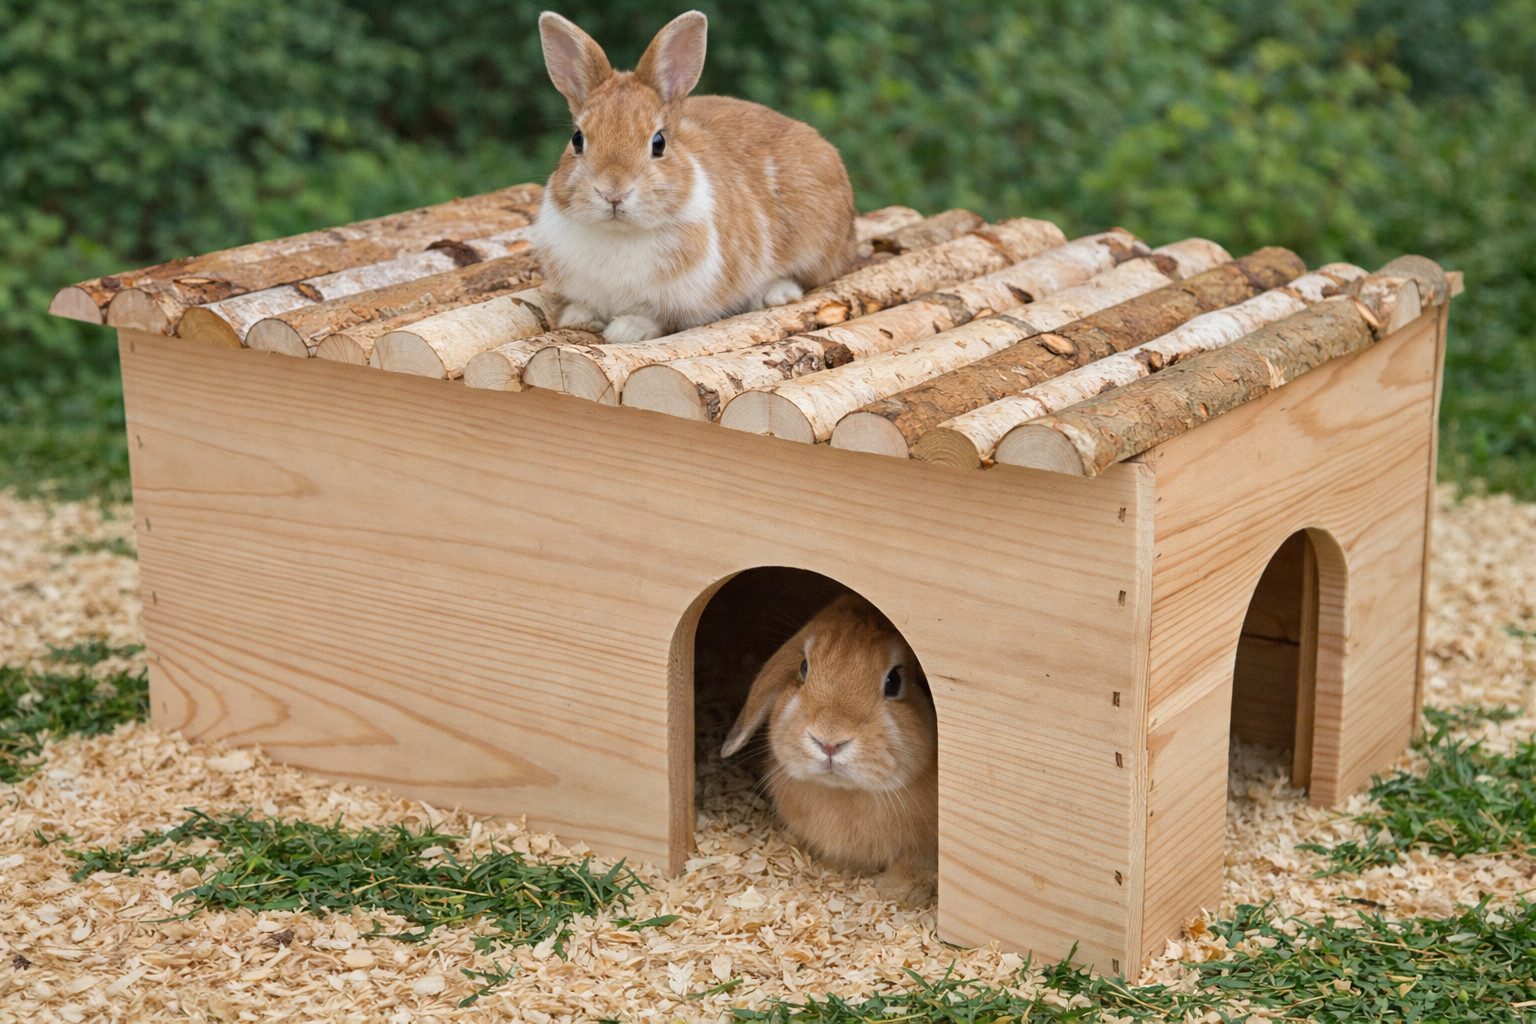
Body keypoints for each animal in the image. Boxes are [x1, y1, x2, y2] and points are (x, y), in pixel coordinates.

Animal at [531, 10, 858, 345]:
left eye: (658, 143)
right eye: (577, 139)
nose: (613, 193)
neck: (619, 233)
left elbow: (659, 318)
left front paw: (626, 330)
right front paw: (576, 317)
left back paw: (776, 294)